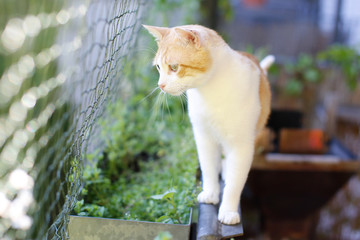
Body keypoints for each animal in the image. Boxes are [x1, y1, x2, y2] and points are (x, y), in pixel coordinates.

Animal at [143, 24, 272, 225]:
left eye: (174, 67)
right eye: (158, 67)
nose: (161, 85)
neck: (210, 92)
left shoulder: (242, 145)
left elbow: (235, 182)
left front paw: (228, 210)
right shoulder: (203, 137)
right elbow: (208, 168)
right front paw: (211, 193)